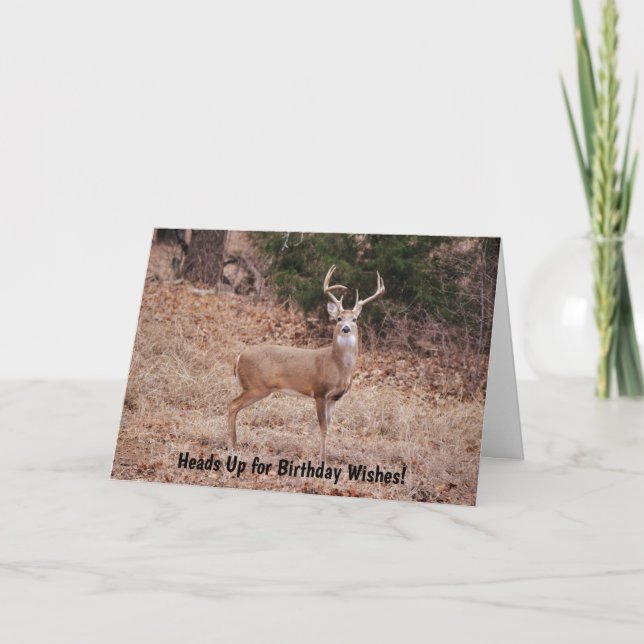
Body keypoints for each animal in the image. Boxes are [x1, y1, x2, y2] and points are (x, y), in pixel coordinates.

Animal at [227, 265, 385, 462]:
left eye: (354, 319)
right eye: (339, 318)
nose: (346, 328)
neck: (337, 365)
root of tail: (238, 357)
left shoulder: (334, 398)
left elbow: (329, 426)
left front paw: (325, 456)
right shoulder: (319, 392)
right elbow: (323, 427)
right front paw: (321, 460)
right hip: (257, 386)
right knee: (232, 405)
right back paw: (232, 446)